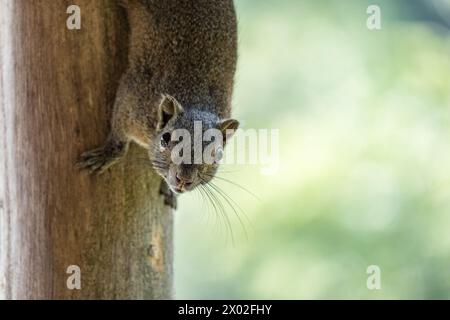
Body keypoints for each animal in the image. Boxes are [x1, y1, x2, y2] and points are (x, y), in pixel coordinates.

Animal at [76, 0, 239, 210]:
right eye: (165, 139)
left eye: (216, 154)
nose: (183, 179)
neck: (195, 101)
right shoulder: (133, 98)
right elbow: (119, 130)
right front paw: (107, 154)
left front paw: (169, 191)